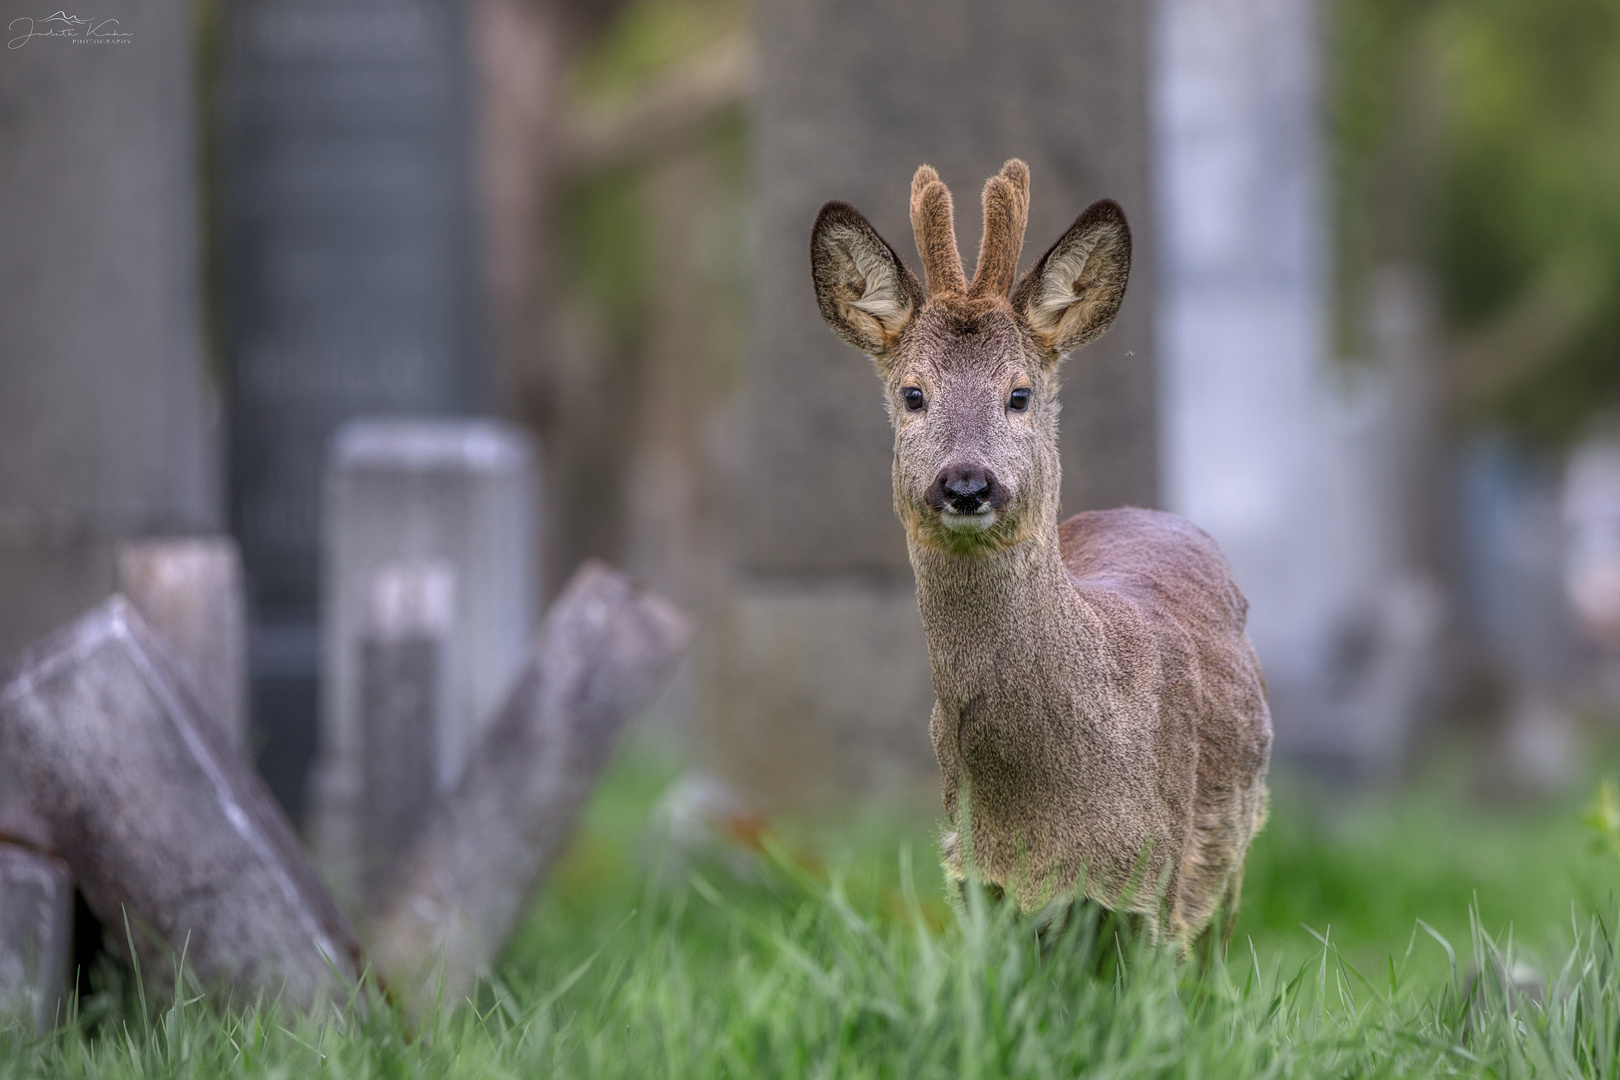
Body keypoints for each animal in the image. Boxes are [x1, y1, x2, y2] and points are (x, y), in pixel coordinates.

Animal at [806, 160, 1263, 945]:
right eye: (913, 394)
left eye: (1019, 395)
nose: (965, 482)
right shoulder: (973, 874)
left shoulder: (1161, 878)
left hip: (1230, 857)